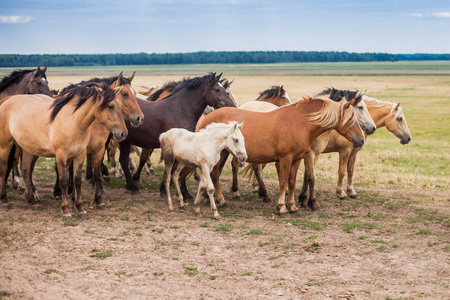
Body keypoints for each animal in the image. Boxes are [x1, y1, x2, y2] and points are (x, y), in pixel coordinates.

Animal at [0, 81, 127, 221]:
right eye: (110, 106)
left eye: (119, 105)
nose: (123, 133)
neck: (73, 121)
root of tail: (6, 101)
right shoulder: (61, 156)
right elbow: (64, 182)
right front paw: (66, 211)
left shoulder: (79, 155)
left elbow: (77, 180)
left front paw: (81, 209)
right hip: (5, 146)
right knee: (4, 170)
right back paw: (5, 201)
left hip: (28, 148)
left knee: (26, 171)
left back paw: (33, 202)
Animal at [52, 72, 144, 209]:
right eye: (125, 94)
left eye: (135, 93)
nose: (139, 118)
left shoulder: (98, 146)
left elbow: (96, 167)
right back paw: (59, 191)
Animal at [197, 95, 366, 216]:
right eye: (351, 119)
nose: (361, 139)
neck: (299, 122)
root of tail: (206, 117)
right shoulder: (286, 158)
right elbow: (284, 182)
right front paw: (282, 207)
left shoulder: (297, 159)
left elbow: (292, 182)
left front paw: (292, 205)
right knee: (215, 176)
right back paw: (221, 200)